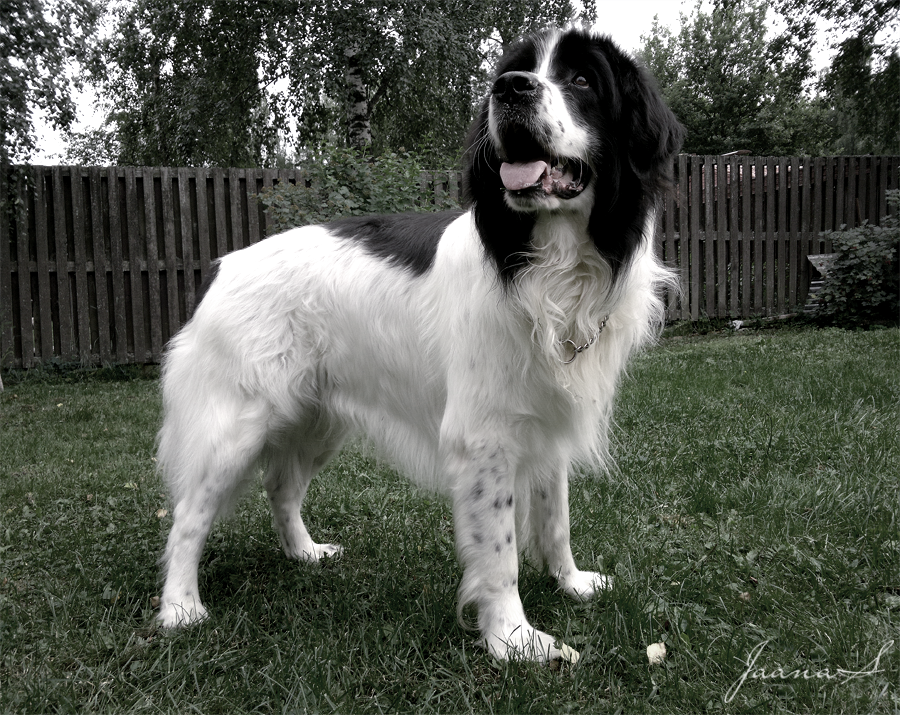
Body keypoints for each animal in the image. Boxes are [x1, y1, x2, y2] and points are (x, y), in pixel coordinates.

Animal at [155, 27, 683, 663]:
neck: (552, 264)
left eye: (582, 79)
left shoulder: (547, 418)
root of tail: (224, 266)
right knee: (188, 515)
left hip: (316, 418)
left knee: (281, 486)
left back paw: (304, 553)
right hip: (236, 423)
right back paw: (180, 607)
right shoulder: (484, 438)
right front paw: (515, 639)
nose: (509, 89)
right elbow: (500, 551)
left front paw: (571, 583)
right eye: (515, 71)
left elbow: (555, 518)